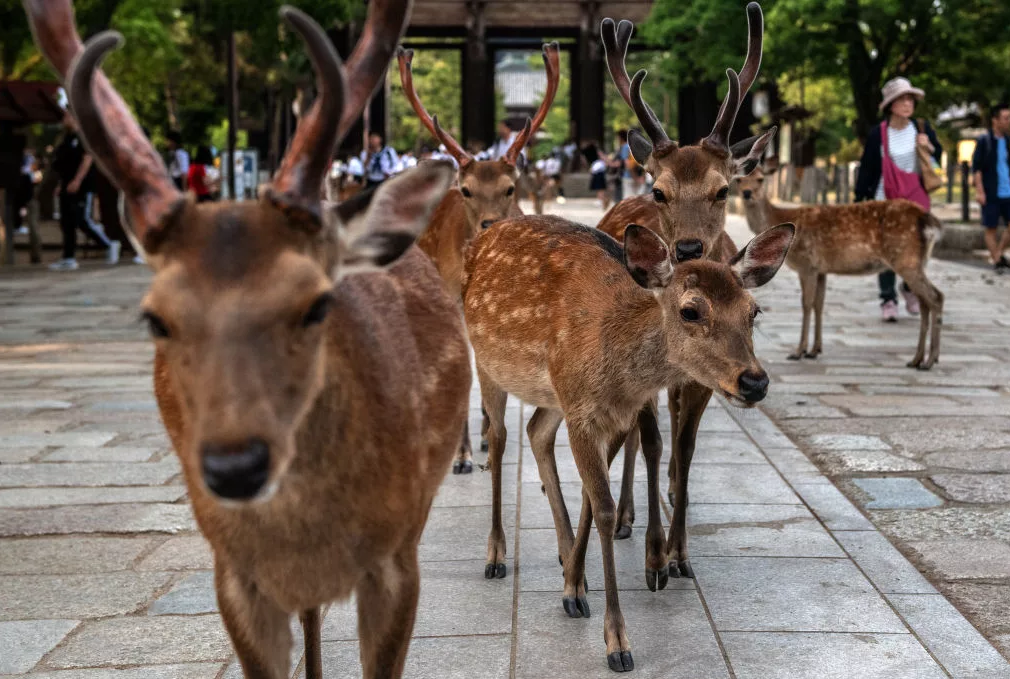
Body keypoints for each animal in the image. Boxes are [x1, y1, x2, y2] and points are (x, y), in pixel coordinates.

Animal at [464, 213, 795, 674]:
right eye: (690, 310)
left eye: (753, 311)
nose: (754, 381)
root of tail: (482, 237)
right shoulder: (582, 412)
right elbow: (603, 509)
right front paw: (616, 642)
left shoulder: (613, 410)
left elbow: (594, 496)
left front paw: (573, 586)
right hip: (488, 362)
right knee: (498, 439)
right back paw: (495, 555)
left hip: (551, 394)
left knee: (535, 431)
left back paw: (565, 555)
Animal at [593, 2, 775, 577]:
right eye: (659, 190)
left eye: (723, 189)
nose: (690, 248)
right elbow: (651, 441)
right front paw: (655, 555)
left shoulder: (706, 380)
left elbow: (686, 451)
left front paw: (681, 554)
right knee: (637, 436)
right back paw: (627, 518)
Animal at [735, 164, 945, 367]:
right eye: (739, 179)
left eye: (760, 179)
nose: (746, 193)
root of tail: (930, 222)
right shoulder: (821, 270)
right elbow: (819, 304)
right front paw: (815, 350)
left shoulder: (807, 264)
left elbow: (806, 304)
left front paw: (798, 351)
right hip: (917, 261)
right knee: (925, 301)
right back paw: (918, 359)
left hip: (905, 258)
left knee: (936, 297)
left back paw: (929, 360)